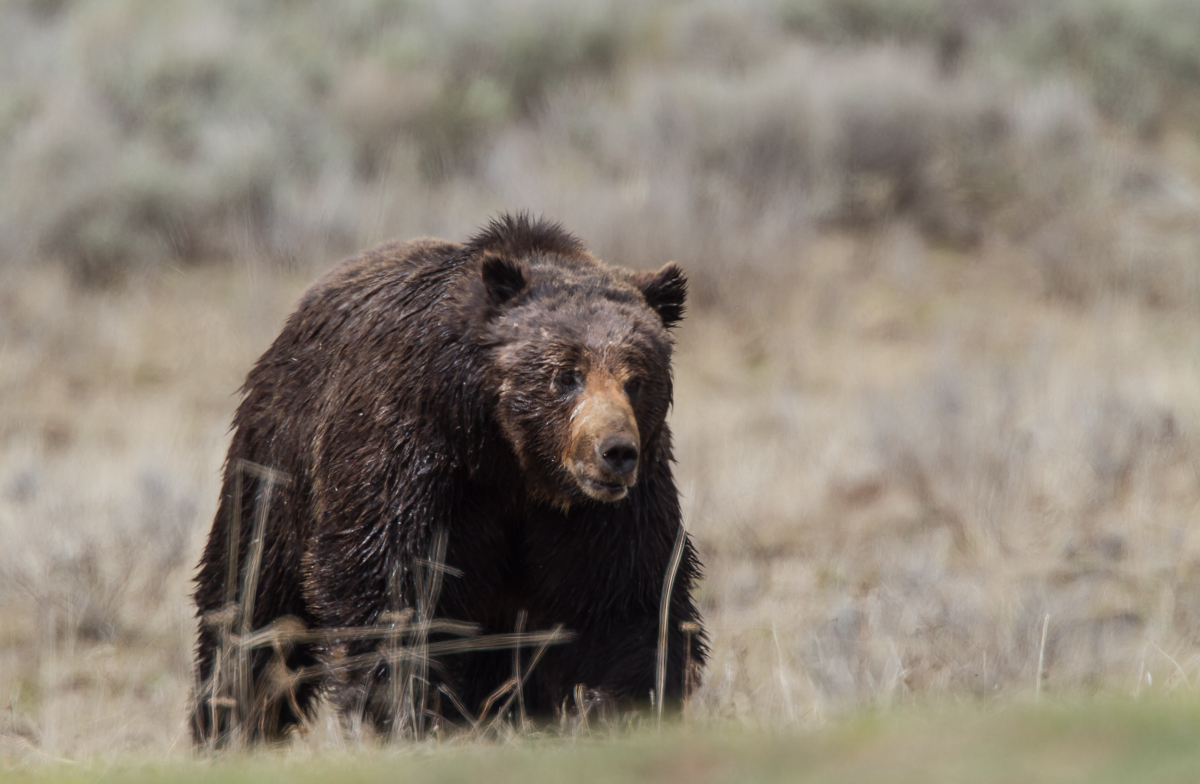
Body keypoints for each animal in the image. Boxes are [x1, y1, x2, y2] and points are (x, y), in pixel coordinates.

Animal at [190, 213, 706, 744]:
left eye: (636, 378)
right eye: (567, 375)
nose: (615, 451)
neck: (509, 459)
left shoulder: (607, 514)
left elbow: (630, 597)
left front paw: (628, 705)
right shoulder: (411, 458)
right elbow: (390, 584)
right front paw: (410, 708)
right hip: (277, 467)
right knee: (251, 601)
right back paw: (230, 721)